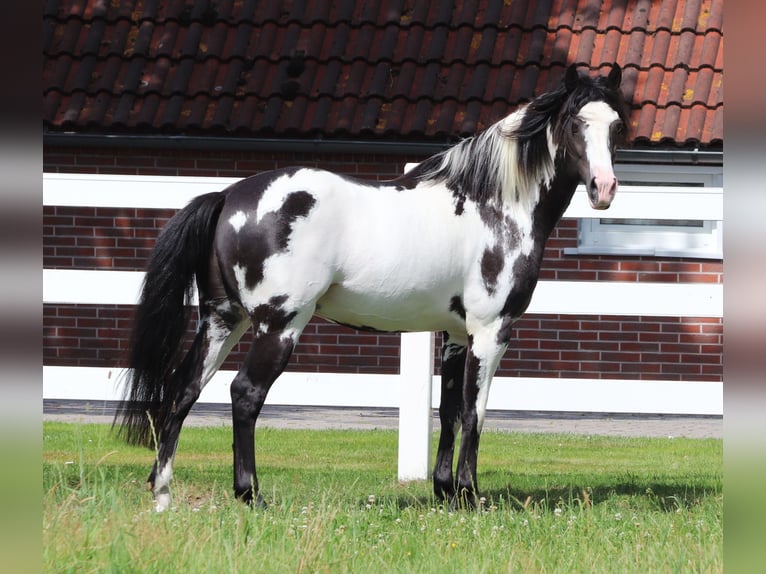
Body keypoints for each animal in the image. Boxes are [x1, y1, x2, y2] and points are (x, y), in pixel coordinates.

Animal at [115, 64, 628, 512]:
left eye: (616, 126)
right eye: (575, 122)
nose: (604, 189)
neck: (494, 204)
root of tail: (227, 197)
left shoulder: (455, 333)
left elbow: (448, 411)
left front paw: (447, 493)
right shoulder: (490, 331)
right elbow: (474, 412)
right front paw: (470, 495)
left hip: (224, 320)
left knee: (184, 391)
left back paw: (162, 491)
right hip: (280, 325)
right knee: (244, 394)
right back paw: (250, 495)